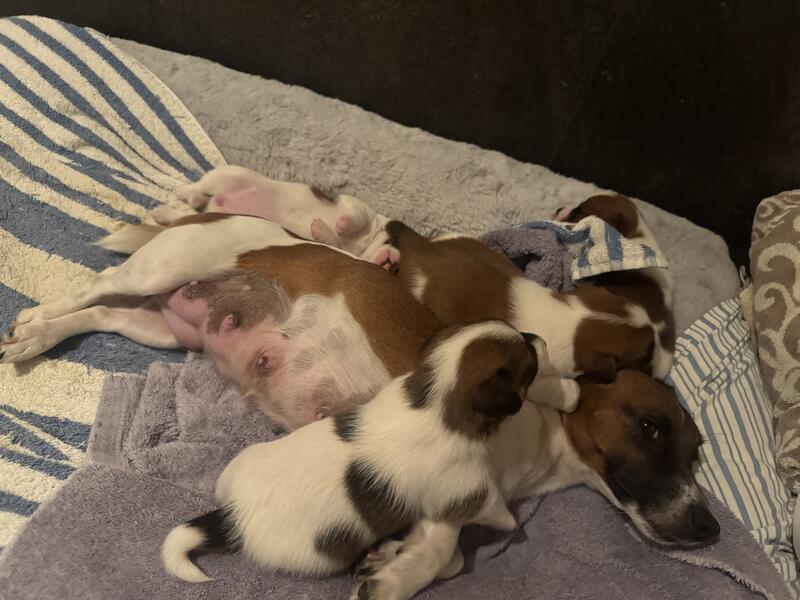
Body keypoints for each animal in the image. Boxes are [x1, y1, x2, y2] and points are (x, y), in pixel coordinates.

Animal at [161, 320, 543, 582]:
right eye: (530, 365)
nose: (537, 338)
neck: (436, 400)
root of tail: (236, 516)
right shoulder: (467, 491)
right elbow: (495, 509)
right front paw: (512, 522)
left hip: (242, 461)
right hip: (320, 555)